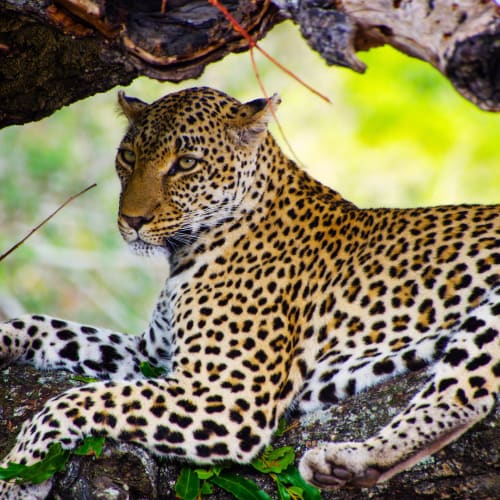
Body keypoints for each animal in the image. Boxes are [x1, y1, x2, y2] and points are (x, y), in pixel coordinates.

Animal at [0, 88, 498, 498]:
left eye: (185, 163)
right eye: (127, 155)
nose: (132, 220)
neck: (185, 251)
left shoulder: (227, 396)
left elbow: (75, 400)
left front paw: (21, 467)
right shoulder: (151, 354)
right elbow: (49, 327)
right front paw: (7, 341)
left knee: (461, 397)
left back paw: (347, 459)